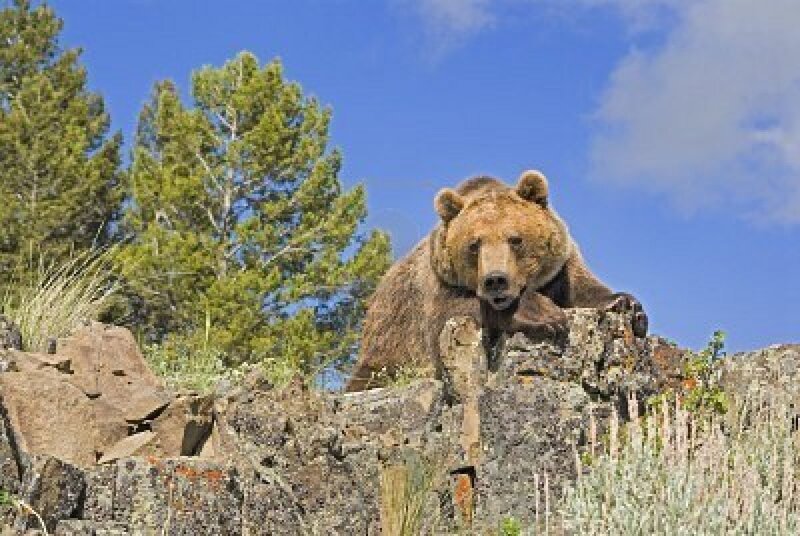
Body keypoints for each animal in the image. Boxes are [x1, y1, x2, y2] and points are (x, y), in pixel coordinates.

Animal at [345, 170, 647, 391]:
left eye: (515, 239)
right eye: (473, 244)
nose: (495, 280)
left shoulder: (560, 267)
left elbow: (582, 286)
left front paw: (627, 306)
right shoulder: (437, 285)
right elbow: (449, 316)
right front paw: (543, 314)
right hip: (382, 351)